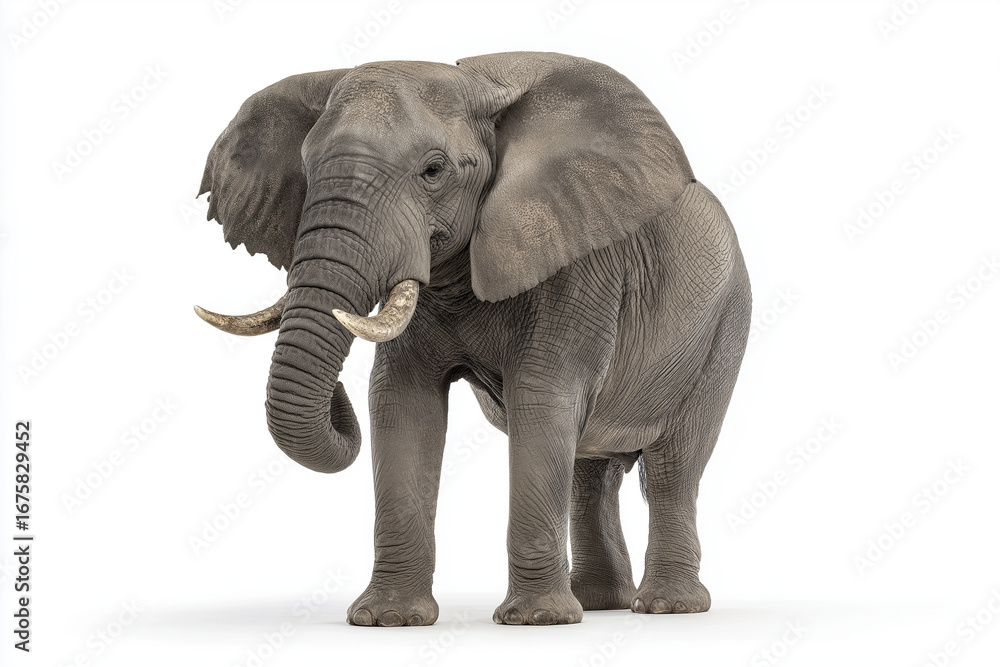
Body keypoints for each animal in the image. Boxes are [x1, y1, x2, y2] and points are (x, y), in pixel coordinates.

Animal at [194, 51, 751, 626]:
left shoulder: (578, 268)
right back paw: (598, 603)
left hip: (724, 326)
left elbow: (541, 401)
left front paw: (534, 621)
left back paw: (666, 607)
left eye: (434, 171)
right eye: (305, 171)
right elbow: (401, 403)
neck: (478, 85)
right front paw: (388, 620)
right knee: (588, 468)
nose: (336, 392)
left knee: (671, 468)